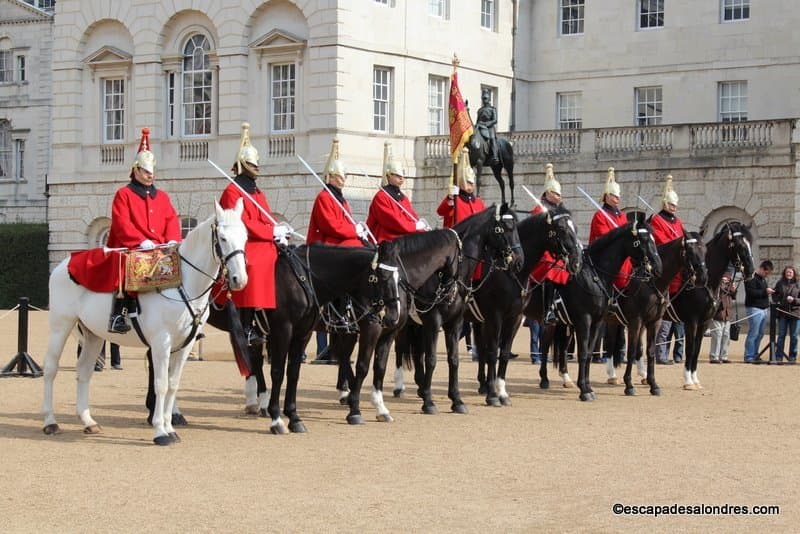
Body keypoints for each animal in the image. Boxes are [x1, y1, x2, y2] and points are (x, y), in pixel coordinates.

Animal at [42, 199, 248, 446]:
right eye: (223, 238)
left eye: (246, 237)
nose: (239, 279)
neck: (183, 283)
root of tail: (65, 264)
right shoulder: (161, 342)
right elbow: (161, 384)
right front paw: (160, 431)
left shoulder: (184, 344)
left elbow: (173, 384)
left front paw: (170, 427)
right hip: (60, 326)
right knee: (50, 369)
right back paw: (50, 422)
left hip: (94, 335)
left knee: (84, 371)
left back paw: (88, 421)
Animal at [145, 243, 400, 436]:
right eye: (383, 276)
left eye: (398, 277)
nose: (392, 316)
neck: (301, 279)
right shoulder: (282, 330)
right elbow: (278, 371)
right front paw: (277, 418)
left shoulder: (303, 334)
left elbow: (294, 373)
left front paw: (294, 416)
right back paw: (170, 414)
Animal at [468, 205, 580, 406]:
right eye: (562, 229)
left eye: (575, 228)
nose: (576, 262)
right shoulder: (495, 316)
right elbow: (493, 351)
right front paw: (493, 394)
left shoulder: (515, 317)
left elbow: (504, 352)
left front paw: (501, 391)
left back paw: (483, 384)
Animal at [528, 214, 660, 402]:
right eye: (642, 240)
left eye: (654, 239)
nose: (657, 266)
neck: (594, 275)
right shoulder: (585, 320)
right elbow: (583, 353)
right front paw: (584, 390)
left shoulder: (597, 322)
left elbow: (589, 353)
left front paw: (588, 387)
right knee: (545, 347)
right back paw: (544, 379)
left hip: (564, 323)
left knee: (559, 348)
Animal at [672, 220, 752, 392]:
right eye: (739, 245)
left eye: (751, 242)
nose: (751, 271)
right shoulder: (691, 321)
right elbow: (690, 349)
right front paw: (688, 381)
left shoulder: (704, 322)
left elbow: (696, 349)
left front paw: (695, 380)